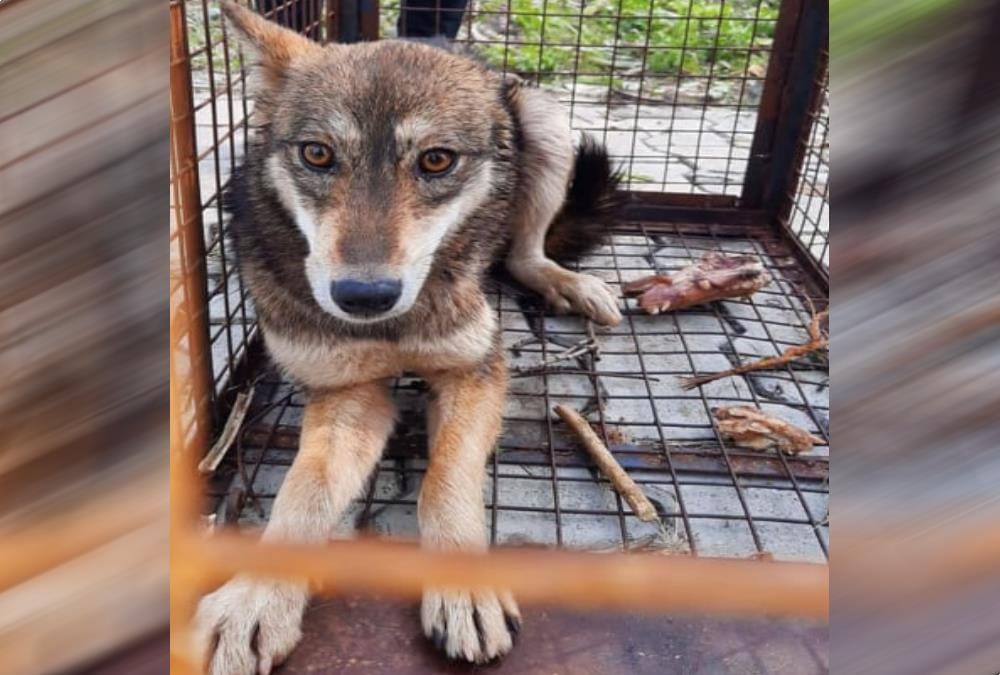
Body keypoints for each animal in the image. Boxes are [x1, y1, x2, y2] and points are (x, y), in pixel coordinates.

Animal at [192, 3, 624, 672]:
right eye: (317, 154)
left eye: (436, 161)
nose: (363, 297)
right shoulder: (350, 393)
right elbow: (302, 491)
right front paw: (256, 600)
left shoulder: (475, 370)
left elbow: (444, 480)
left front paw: (463, 586)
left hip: (544, 121)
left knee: (525, 255)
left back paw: (569, 283)